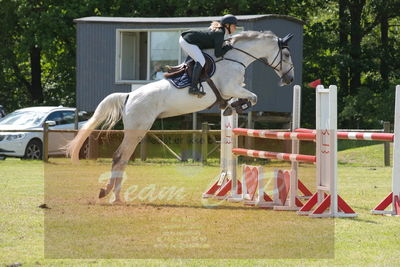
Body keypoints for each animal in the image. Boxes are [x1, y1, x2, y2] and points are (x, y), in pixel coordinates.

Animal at [66, 30, 294, 203]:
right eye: (287, 55)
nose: (290, 79)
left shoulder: (233, 90)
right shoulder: (232, 88)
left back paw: (114, 195)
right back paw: (111, 194)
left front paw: (231, 107)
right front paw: (237, 106)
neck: (234, 57)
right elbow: (253, 97)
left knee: (122, 158)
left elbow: (244, 99)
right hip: (137, 129)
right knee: (119, 156)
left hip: (137, 130)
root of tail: (129, 95)